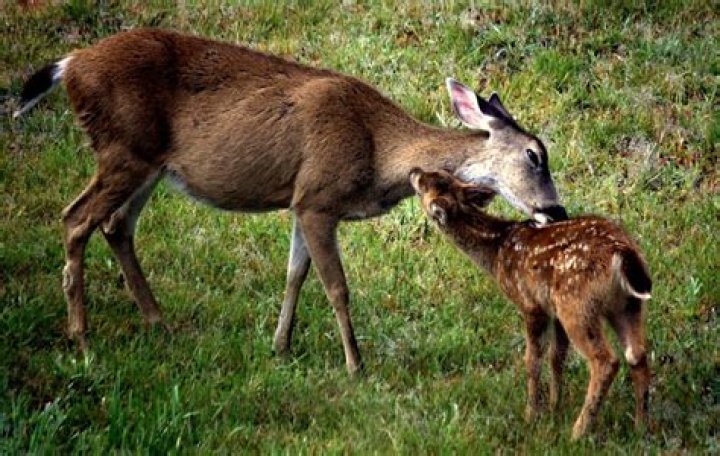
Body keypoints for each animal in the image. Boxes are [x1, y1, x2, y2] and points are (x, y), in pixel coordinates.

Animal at [14, 28, 567, 375]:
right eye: (535, 155)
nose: (557, 211)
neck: (378, 150)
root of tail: (70, 65)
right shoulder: (319, 198)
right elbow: (337, 286)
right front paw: (356, 365)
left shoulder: (302, 202)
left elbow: (295, 274)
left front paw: (280, 346)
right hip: (122, 148)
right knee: (75, 218)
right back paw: (81, 336)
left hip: (147, 163)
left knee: (115, 225)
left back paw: (158, 323)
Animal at [409, 169, 652, 440]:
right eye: (440, 174)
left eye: (425, 184)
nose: (414, 171)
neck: (496, 250)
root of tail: (622, 253)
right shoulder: (552, 309)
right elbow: (556, 357)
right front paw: (556, 406)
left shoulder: (531, 305)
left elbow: (532, 360)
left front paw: (532, 415)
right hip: (627, 306)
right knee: (637, 355)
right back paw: (641, 427)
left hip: (577, 305)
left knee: (606, 361)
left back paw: (578, 432)